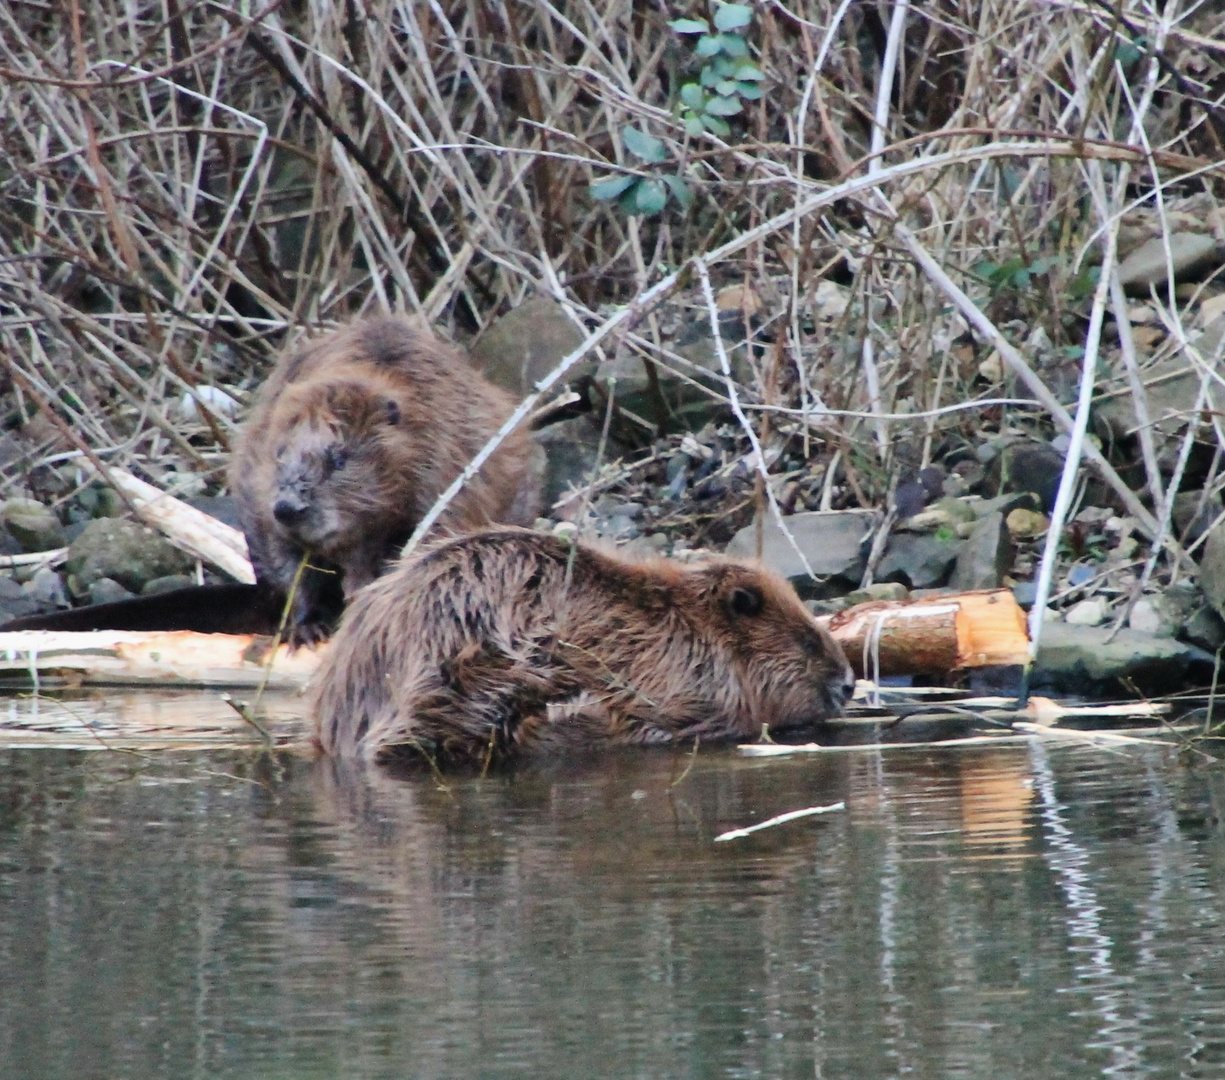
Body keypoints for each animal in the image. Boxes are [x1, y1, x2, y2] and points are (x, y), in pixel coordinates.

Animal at [230, 315, 536, 641]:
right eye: (279, 453)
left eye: (339, 459)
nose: (287, 507)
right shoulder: (256, 490)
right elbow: (283, 558)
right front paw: (307, 628)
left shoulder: (448, 469)